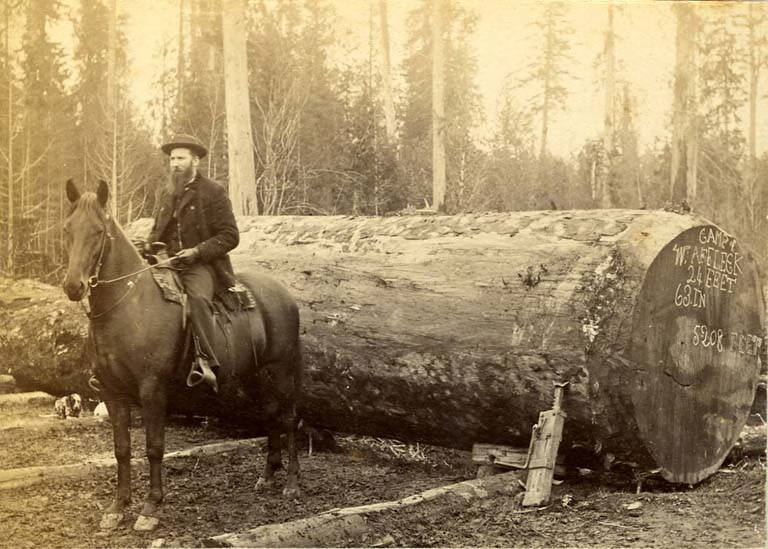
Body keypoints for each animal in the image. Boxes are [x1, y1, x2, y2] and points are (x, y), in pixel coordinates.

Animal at [62, 180, 304, 532]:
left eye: (97, 231)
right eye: (67, 229)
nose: (73, 286)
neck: (130, 305)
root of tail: (285, 295)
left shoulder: (152, 390)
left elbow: (153, 447)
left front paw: (150, 508)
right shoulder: (112, 393)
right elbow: (122, 449)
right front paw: (118, 507)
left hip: (282, 371)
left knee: (288, 418)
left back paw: (292, 483)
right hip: (256, 375)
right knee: (271, 415)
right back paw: (268, 476)